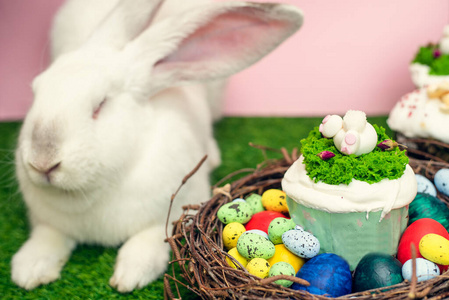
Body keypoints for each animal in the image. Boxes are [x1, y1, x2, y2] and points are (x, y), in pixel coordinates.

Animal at [12, 0, 302, 292]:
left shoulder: (171, 210)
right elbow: (47, 238)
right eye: (36, 91)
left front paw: (129, 275)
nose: (41, 162)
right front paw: (28, 271)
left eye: (100, 104)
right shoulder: (47, 221)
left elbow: (149, 240)